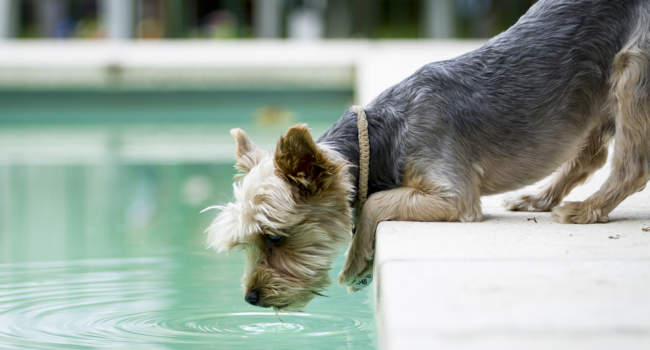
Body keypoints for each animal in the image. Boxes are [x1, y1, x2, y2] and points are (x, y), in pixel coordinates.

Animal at [205, 0, 644, 312]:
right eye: (247, 243)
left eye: (275, 237)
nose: (251, 298)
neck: (380, 137)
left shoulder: (454, 195)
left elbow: (374, 203)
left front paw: (356, 262)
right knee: (590, 156)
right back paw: (541, 198)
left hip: (635, 65)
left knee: (633, 163)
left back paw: (588, 208)